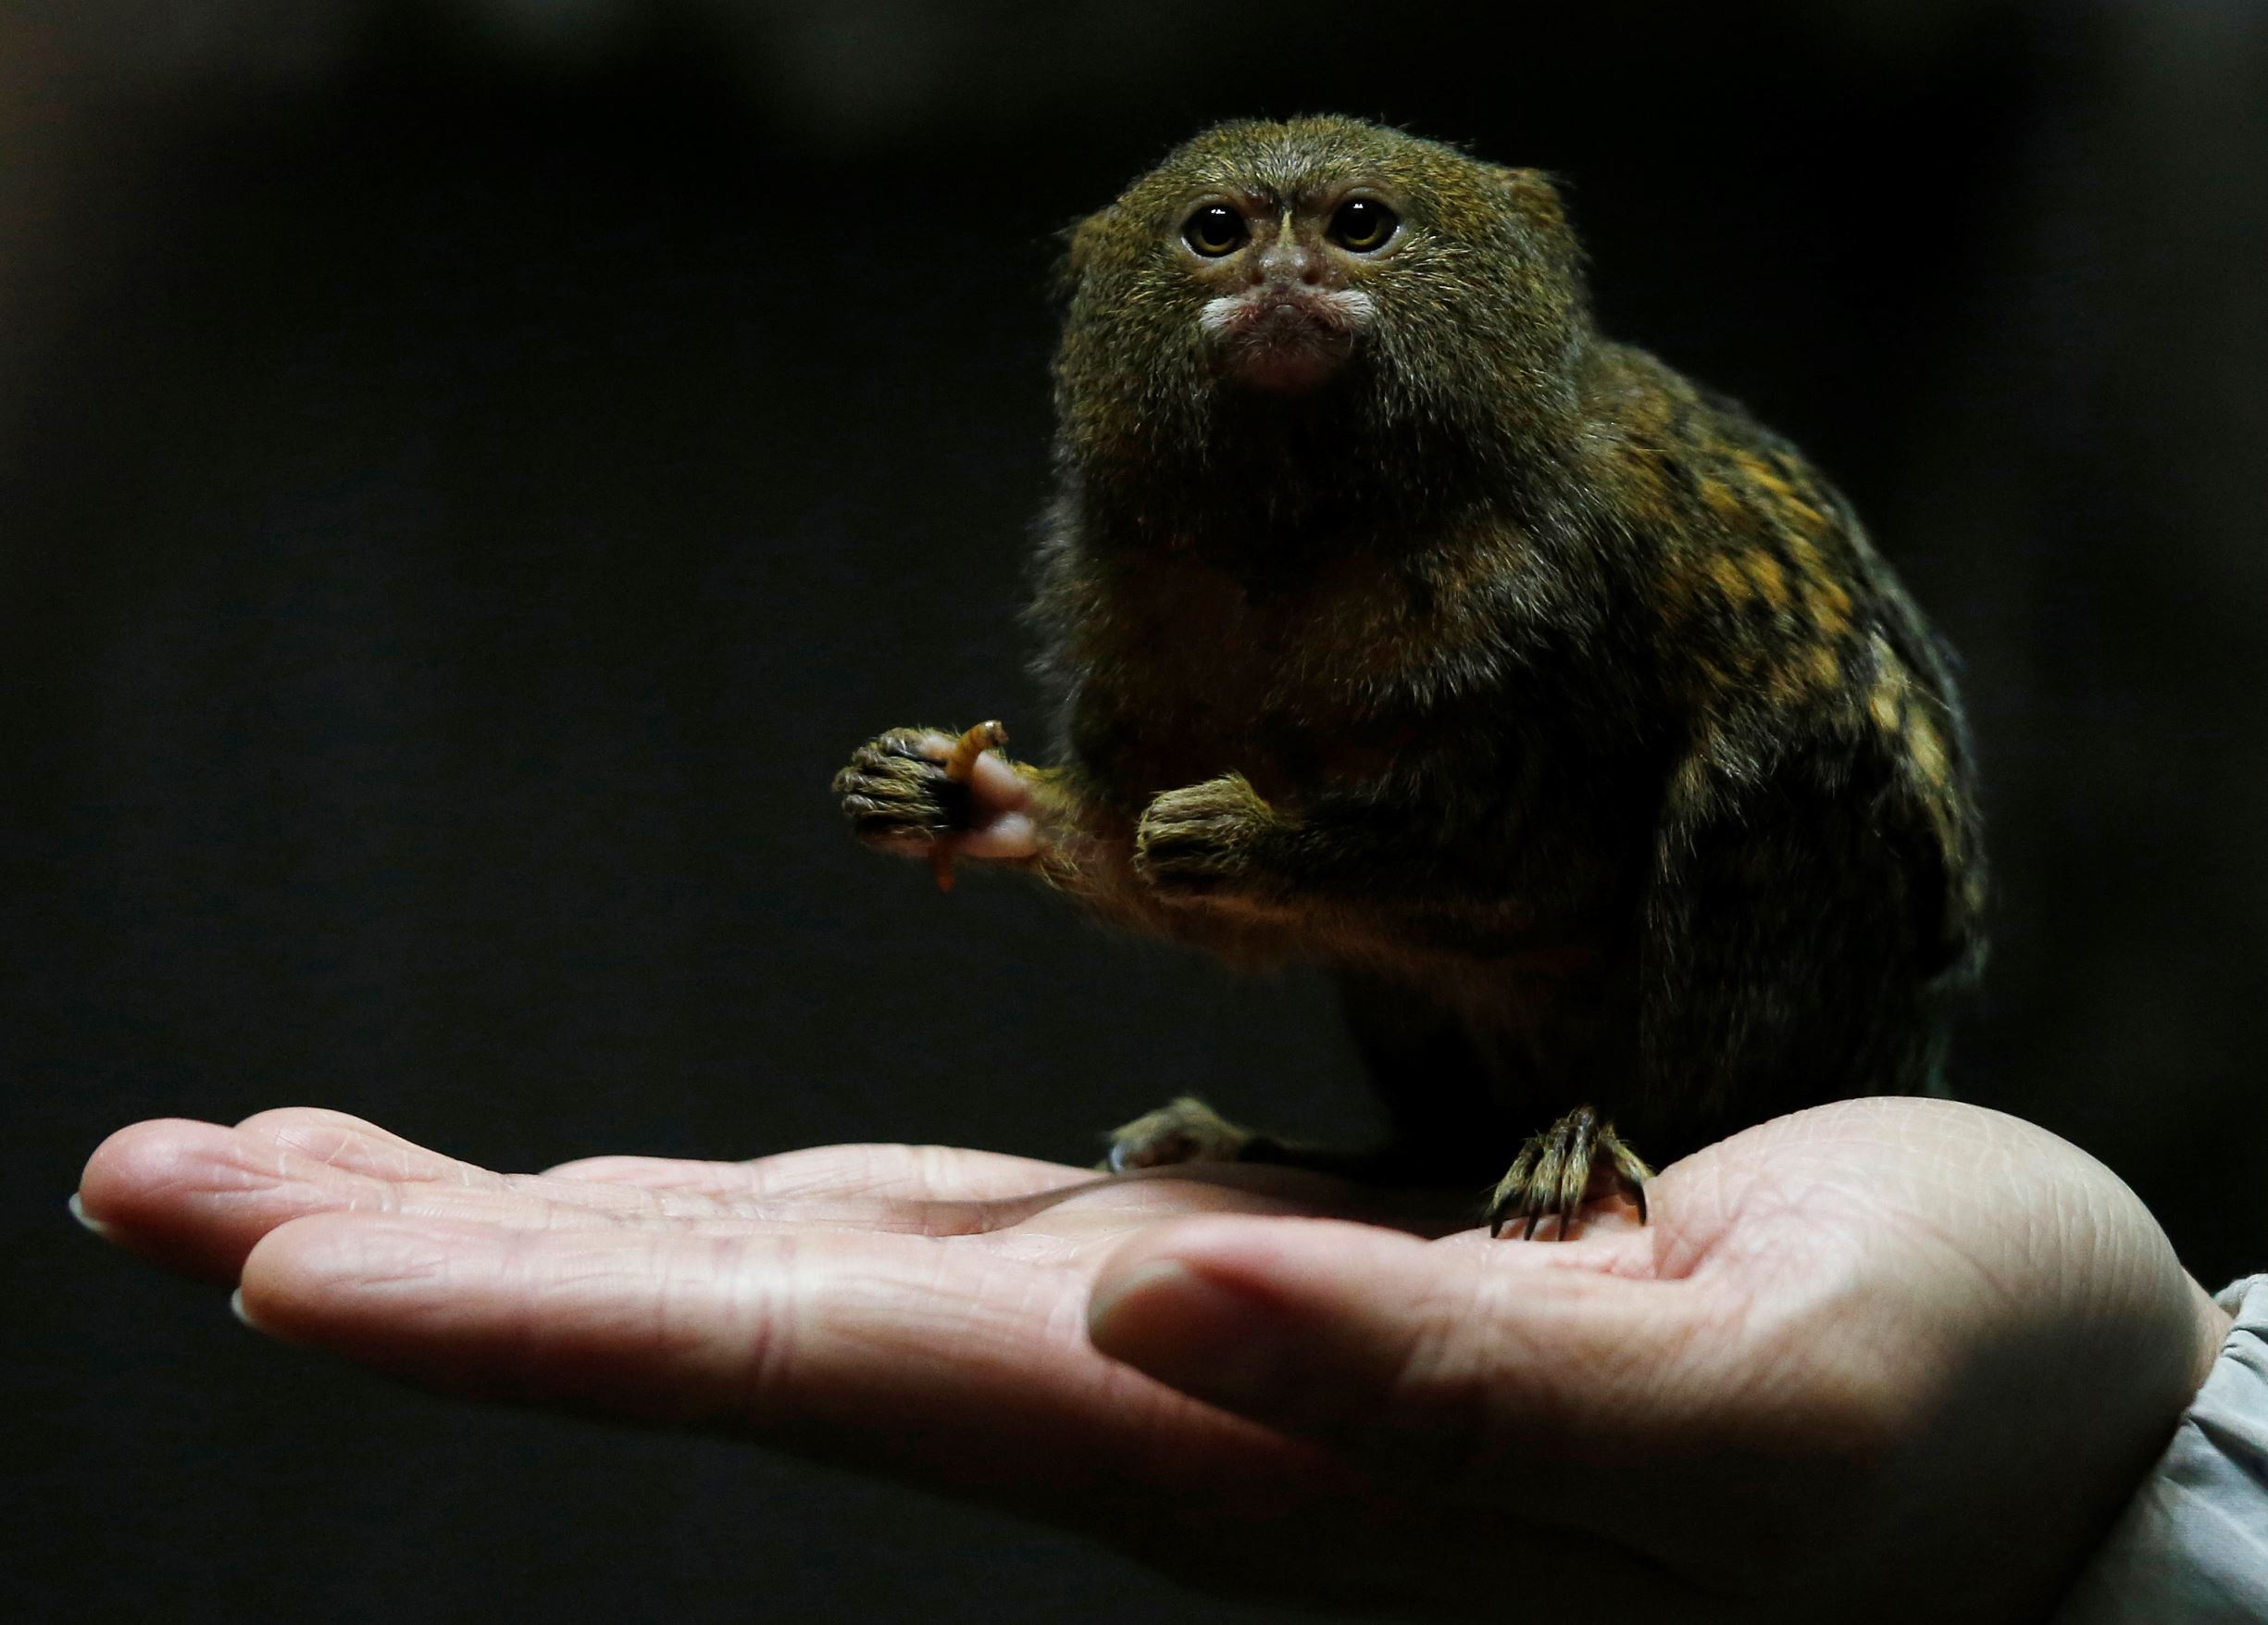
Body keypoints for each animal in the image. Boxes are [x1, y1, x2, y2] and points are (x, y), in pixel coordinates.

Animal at [832, 115, 1984, 1238]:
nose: (1282, 276)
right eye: (1216, 231)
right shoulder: (1126, 580)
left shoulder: (1569, 583)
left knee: (1770, 771)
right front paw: (976, 801)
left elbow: (1538, 863)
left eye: (1357, 225)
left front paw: (1252, 837)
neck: (1311, 525)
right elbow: (1191, 894)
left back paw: (1597, 1133)